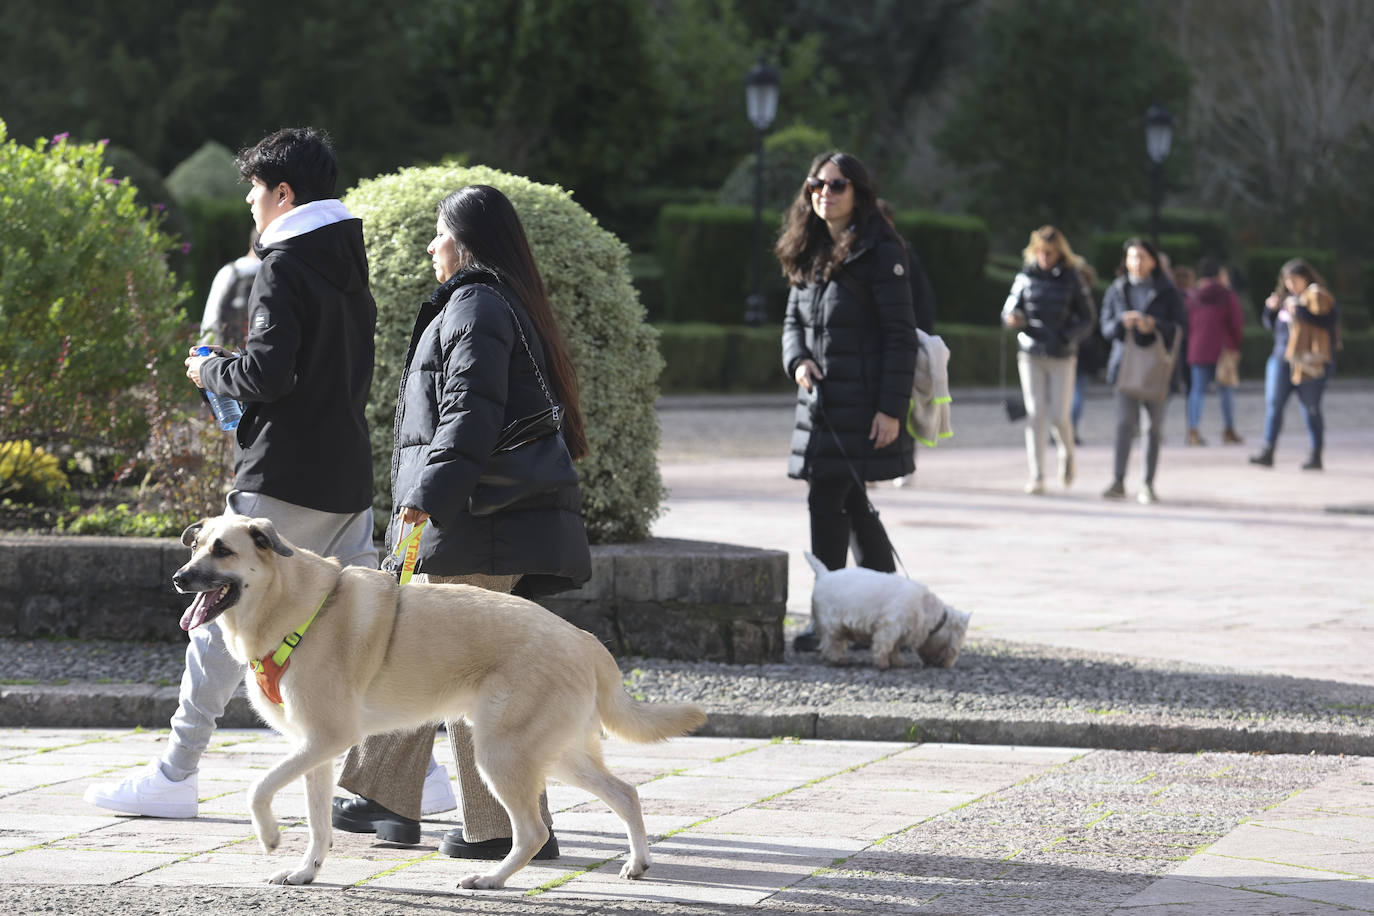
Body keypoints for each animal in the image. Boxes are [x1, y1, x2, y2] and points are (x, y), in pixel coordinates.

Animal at [171, 519, 708, 889]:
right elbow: (319, 824)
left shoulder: (327, 739)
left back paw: (491, 880)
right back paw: (637, 862)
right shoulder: (315, 751)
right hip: (556, 753)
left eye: (223, 550)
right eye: (196, 545)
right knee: (626, 793)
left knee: (533, 831)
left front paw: (268, 837)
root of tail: (584, 639)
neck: (296, 607)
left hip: (500, 753)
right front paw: (306, 871)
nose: (178, 578)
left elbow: (257, 788)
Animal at [802, 554, 972, 670]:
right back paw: (837, 659)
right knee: (831, 642)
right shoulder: (890, 625)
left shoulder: (899, 631)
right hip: (831, 623)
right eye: (956, 646)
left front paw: (899, 662)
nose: (949, 665)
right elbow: (885, 645)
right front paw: (882, 663)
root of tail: (824, 574)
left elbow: (895, 648)